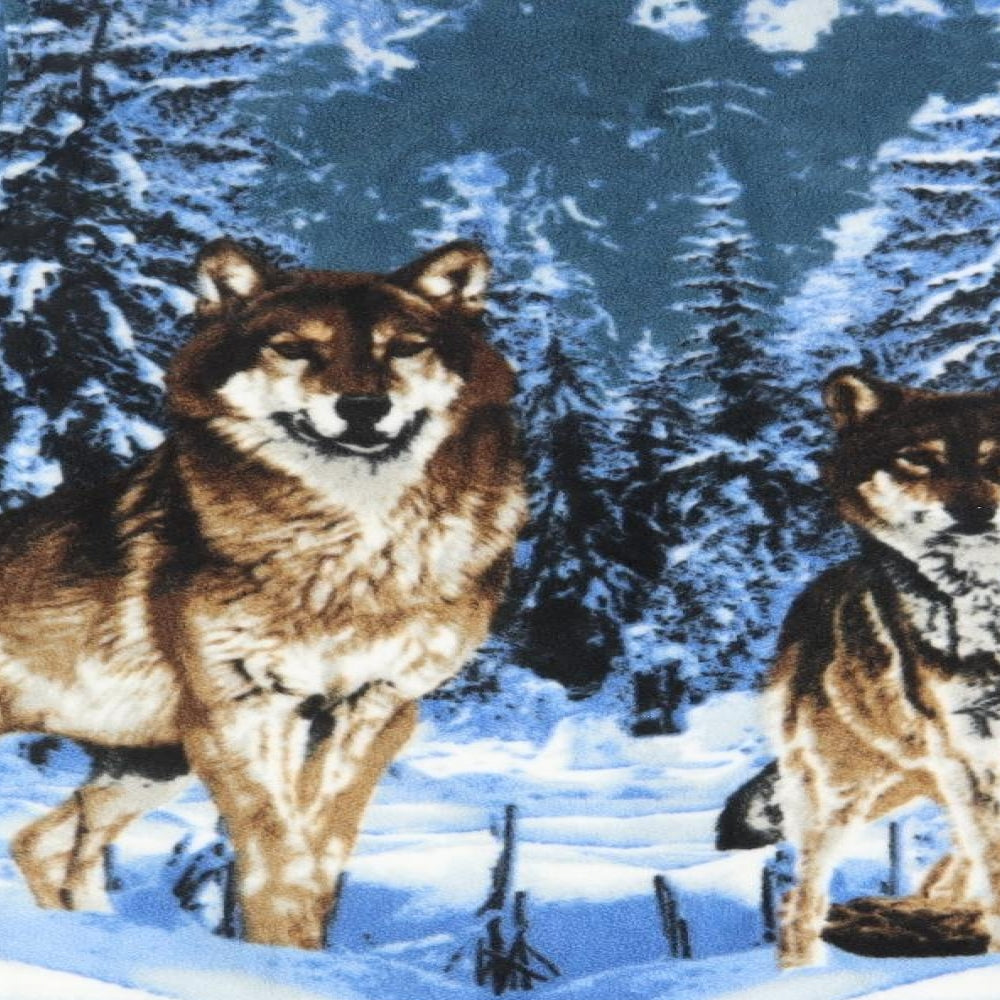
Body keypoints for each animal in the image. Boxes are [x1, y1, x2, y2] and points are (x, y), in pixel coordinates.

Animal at [0, 238, 526, 949]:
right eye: (296, 349)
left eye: (404, 347)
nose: (364, 407)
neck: (355, 558)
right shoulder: (244, 710)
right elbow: (277, 856)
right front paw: (283, 958)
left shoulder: (375, 707)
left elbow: (321, 848)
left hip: (153, 767)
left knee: (41, 840)